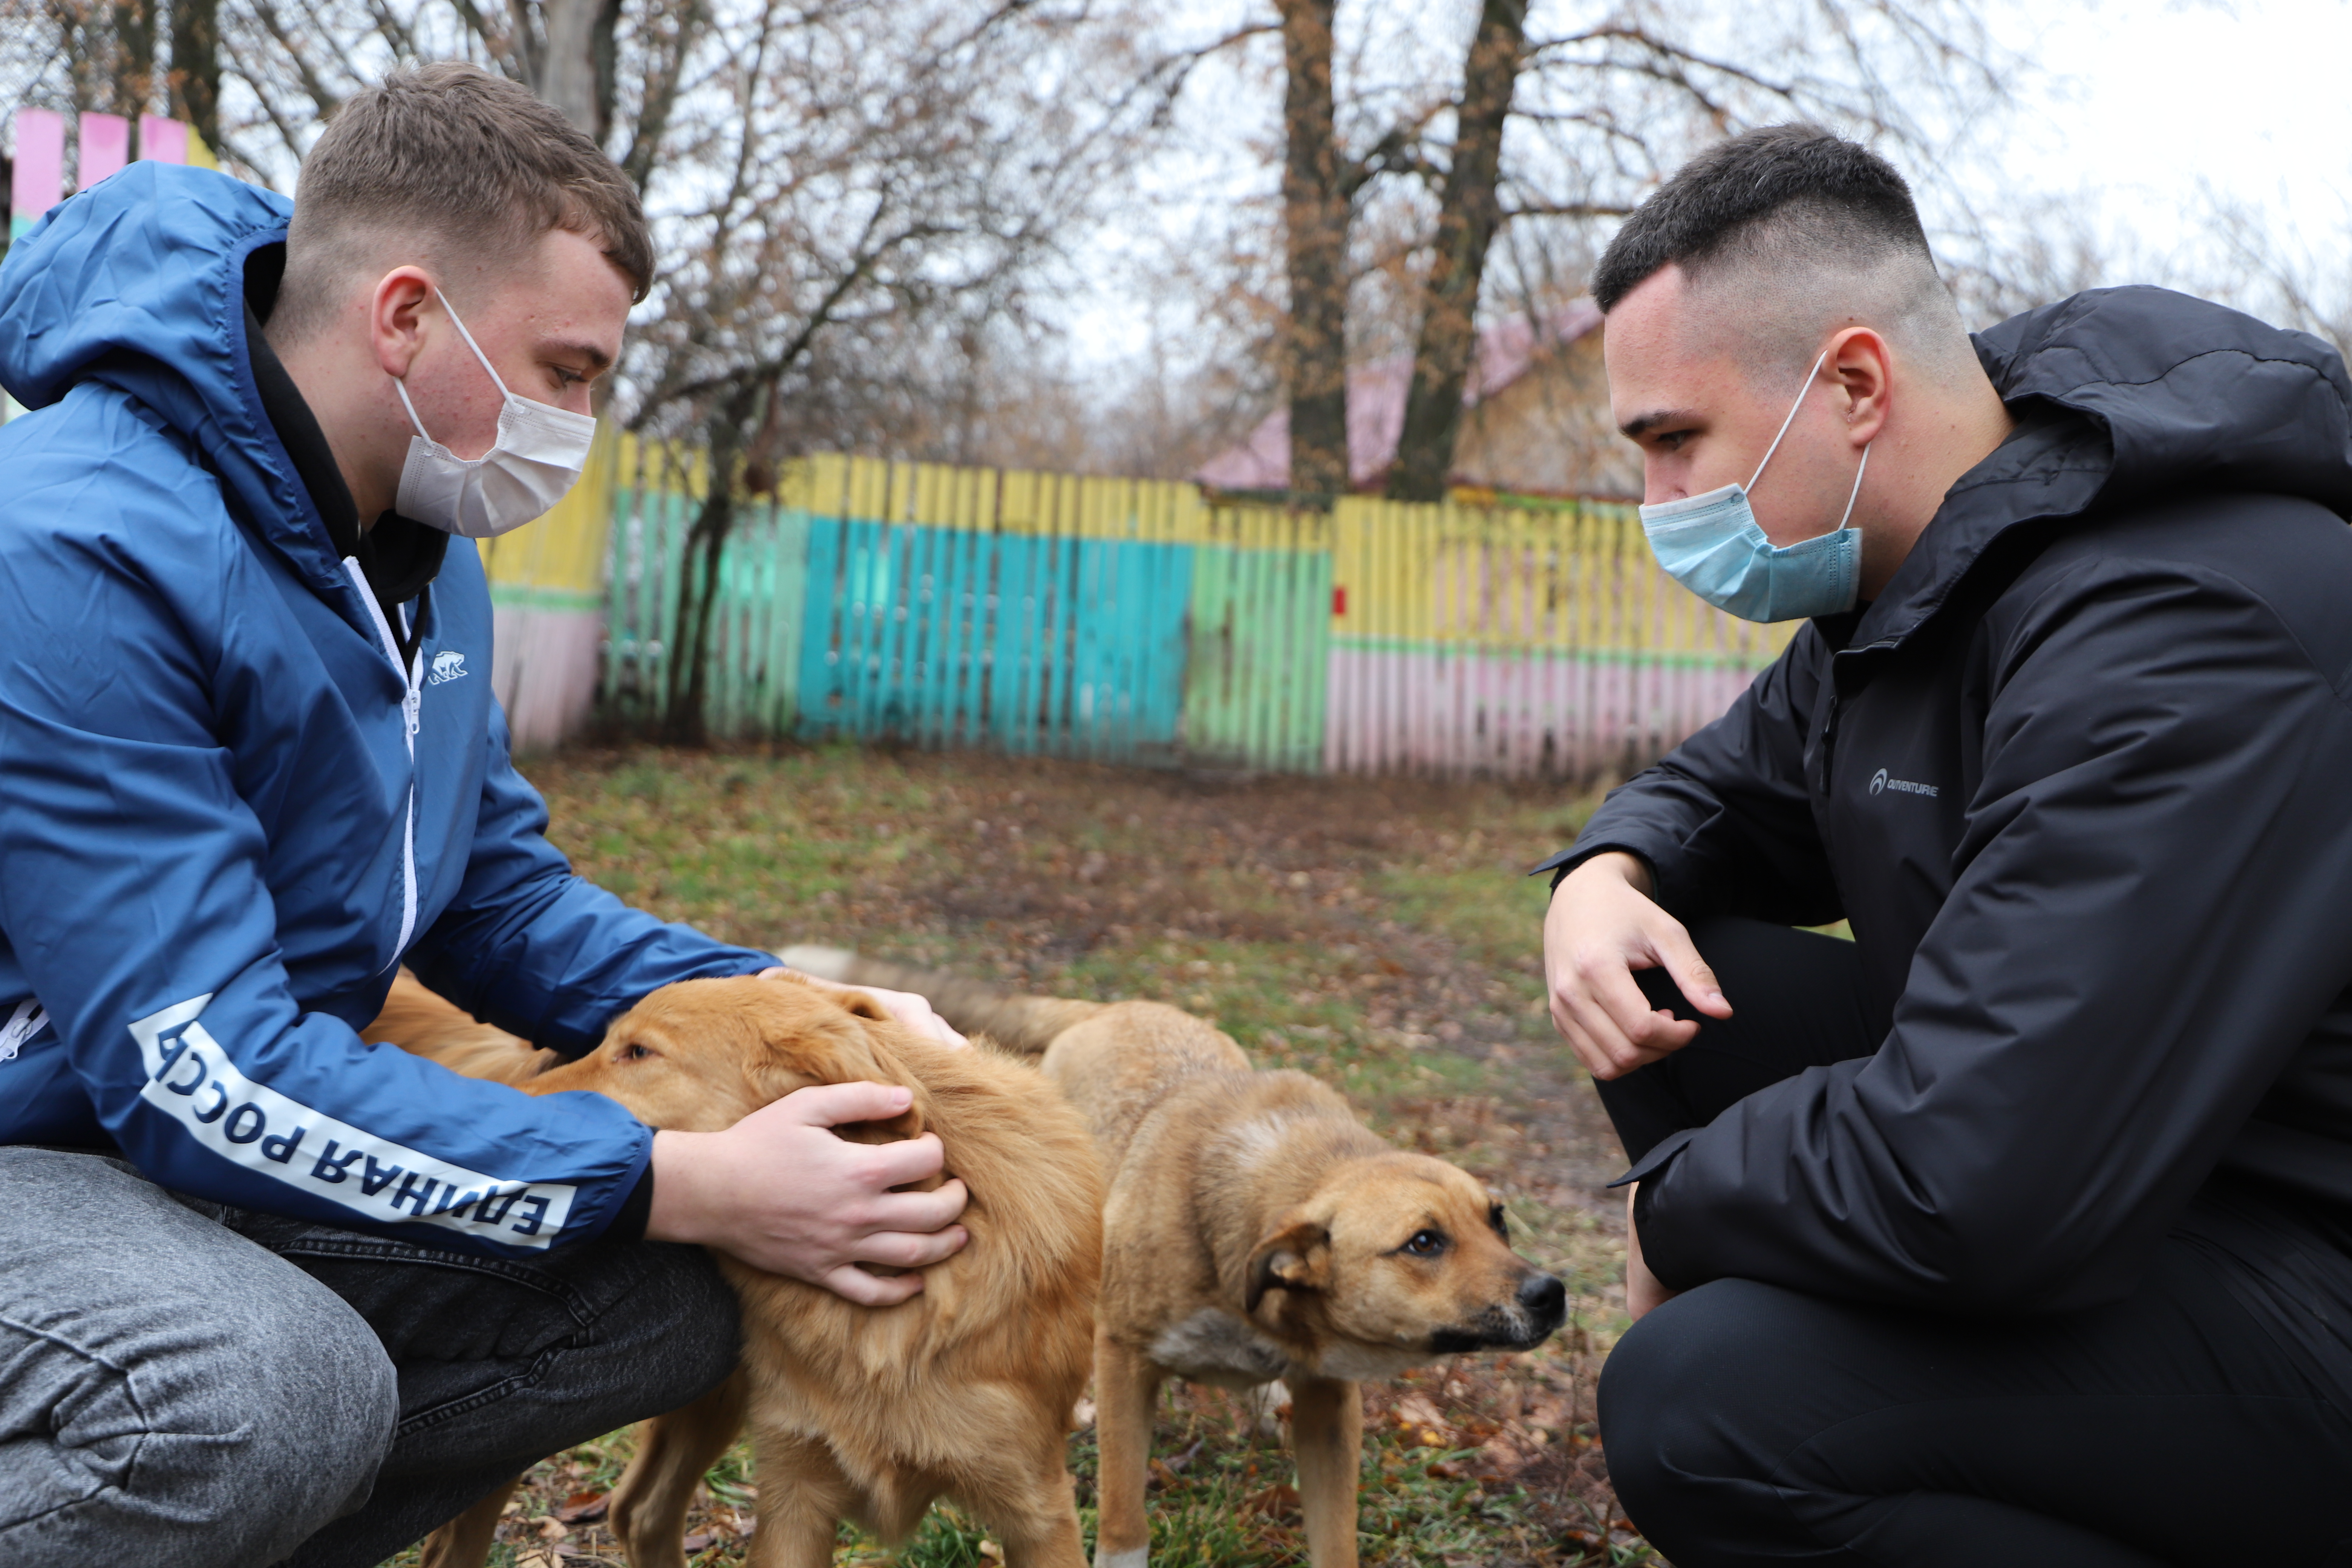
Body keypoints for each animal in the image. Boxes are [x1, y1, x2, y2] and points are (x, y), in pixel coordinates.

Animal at [781, 945, 1571, 1568]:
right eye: (1424, 1242)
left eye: (1498, 1219)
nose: (1550, 1293)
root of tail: (1110, 1009)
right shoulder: (1127, 1362)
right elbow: (1125, 1519)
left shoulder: (1330, 1405)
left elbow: (1335, 1536)